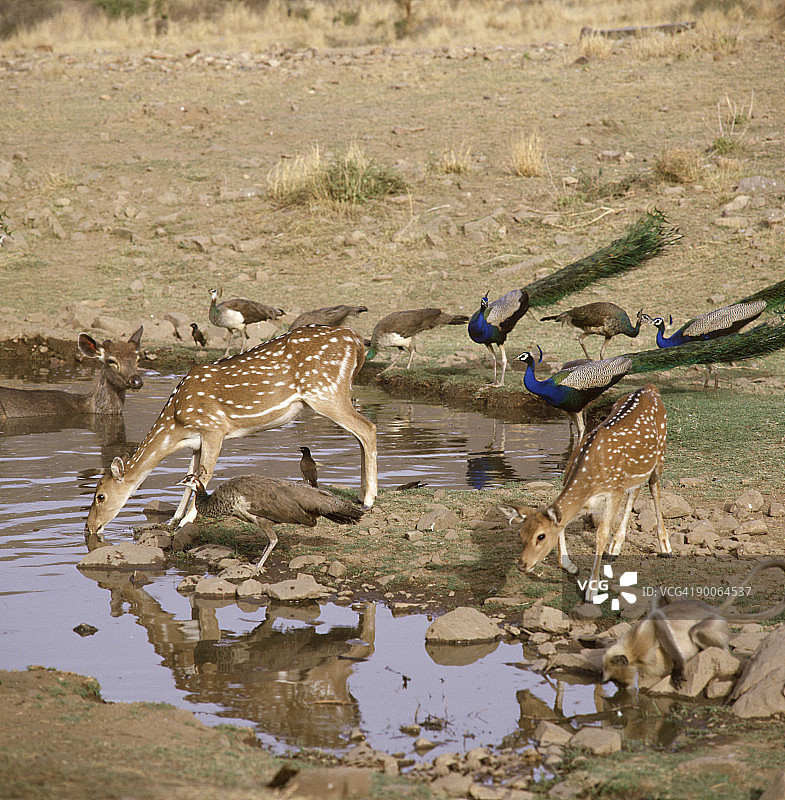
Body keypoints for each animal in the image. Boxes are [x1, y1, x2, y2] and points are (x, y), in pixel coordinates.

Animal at [85, 324, 377, 537]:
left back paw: (368, 500)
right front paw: (173, 520)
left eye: (100, 496)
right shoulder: (196, 441)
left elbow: (205, 474)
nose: (89, 527)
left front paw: (186, 521)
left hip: (325, 391)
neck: (176, 422)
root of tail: (357, 342)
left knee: (368, 428)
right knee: (361, 434)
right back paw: (361, 494)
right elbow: (190, 478)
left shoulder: (214, 427)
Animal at [500, 383, 669, 602]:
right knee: (636, 490)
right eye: (521, 533)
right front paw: (571, 567)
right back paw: (615, 549)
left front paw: (592, 589)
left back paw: (665, 547)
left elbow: (601, 533)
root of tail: (650, 388)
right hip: (636, 471)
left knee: (654, 488)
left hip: (661, 453)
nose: (522, 565)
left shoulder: (614, 490)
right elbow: (563, 524)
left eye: (541, 536)